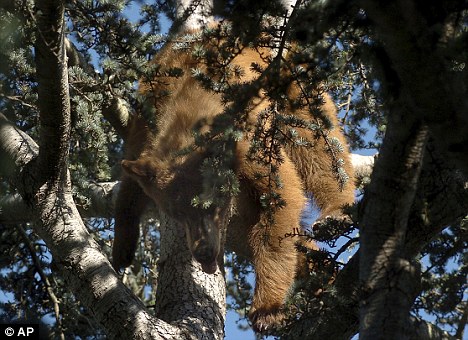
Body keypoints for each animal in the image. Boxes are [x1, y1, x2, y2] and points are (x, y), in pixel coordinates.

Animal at [113, 25, 354, 332]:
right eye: (176, 214)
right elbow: (130, 177)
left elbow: (282, 198)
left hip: (296, 88)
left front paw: (267, 309)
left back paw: (336, 214)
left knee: (321, 148)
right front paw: (122, 245)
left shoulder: (250, 142)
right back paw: (324, 277)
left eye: (214, 206)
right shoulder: (148, 117)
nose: (204, 254)